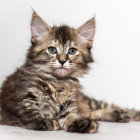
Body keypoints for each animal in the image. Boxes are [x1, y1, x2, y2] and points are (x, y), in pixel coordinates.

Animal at [0, 12, 140, 133]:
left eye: (72, 51)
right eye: (52, 50)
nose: (62, 61)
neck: (58, 82)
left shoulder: (69, 106)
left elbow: (71, 116)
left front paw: (82, 123)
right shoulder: (20, 97)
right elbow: (29, 110)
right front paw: (45, 120)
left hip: (86, 101)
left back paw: (123, 114)